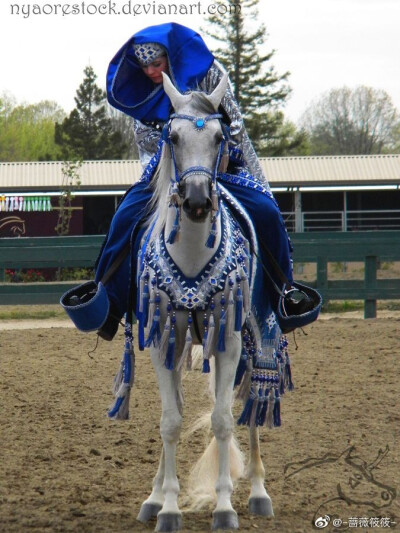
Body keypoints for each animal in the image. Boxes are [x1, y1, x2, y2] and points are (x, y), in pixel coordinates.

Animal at [133, 72, 274, 528]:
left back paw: (259, 492)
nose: (196, 201)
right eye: (172, 136)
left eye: (219, 137)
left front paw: (225, 507)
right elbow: (171, 421)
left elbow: (224, 421)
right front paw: (167, 507)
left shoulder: (228, 342)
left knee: (251, 405)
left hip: (253, 343)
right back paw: (154, 497)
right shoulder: (163, 341)